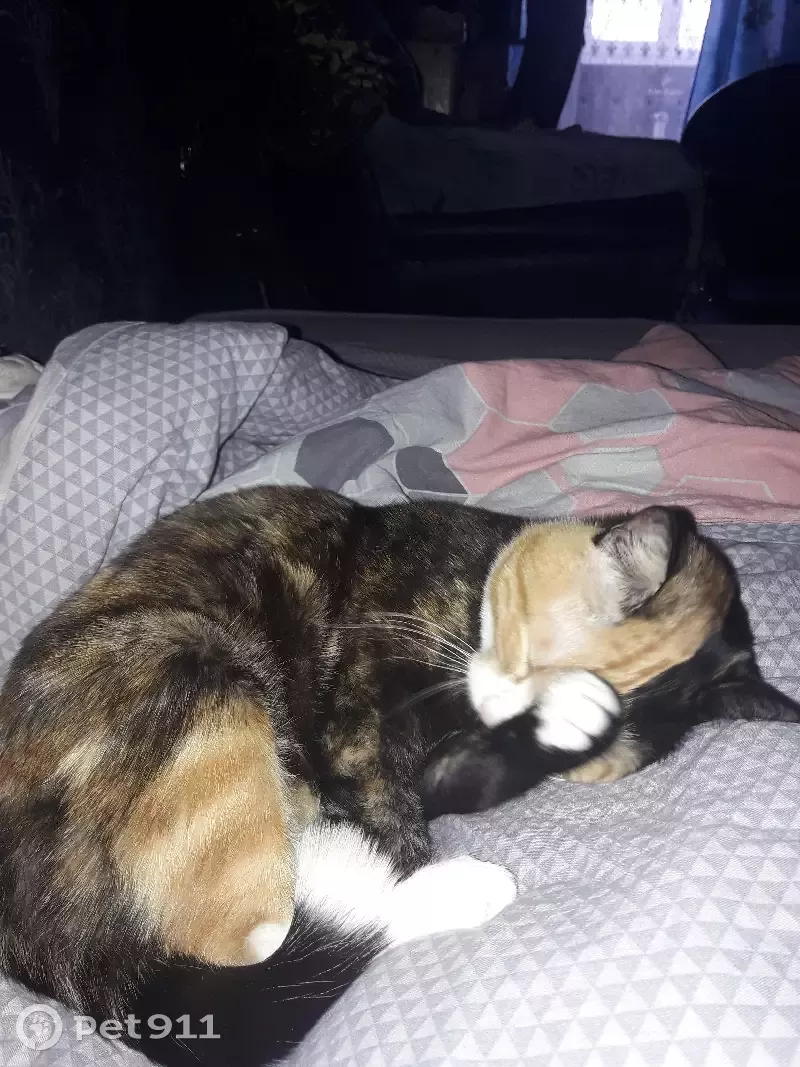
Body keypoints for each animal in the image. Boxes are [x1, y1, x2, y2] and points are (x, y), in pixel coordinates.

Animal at [0, 487, 796, 1067]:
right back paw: (457, 887)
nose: (494, 715)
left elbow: (457, 782)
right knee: (254, 935)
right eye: (533, 652)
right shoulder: (361, 707)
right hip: (199, 675)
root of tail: (53, 954)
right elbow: (390, 813)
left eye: (589, 761)